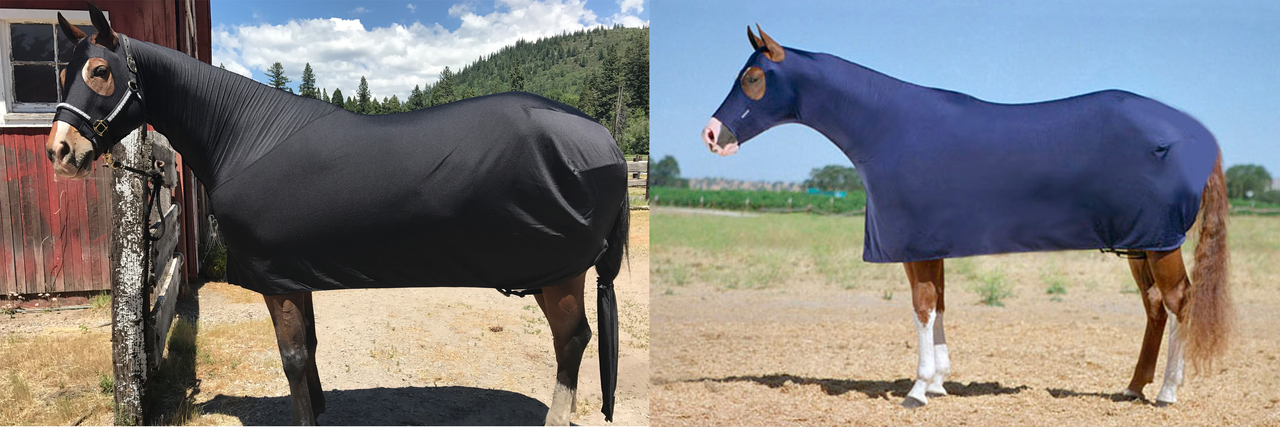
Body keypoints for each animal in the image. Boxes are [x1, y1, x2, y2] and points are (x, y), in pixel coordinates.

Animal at [45, 5, 627, 425]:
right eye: (63, 70)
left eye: (101, 71)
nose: (60, 152)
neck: (245, 138)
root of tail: (605, 141)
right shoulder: (292, 274)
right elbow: (309, 346)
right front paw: (320, 407)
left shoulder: (275, 279)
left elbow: (292, 358)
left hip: (562, 274)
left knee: (572, 342)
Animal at [701, 26, 1231, 408]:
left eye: (753, 78)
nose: (710, 135)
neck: (889, 128)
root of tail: (1197, 135)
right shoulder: (929, 245)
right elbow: (938, 305)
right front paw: (938, 382)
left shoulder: (914, 244)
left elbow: (922, 307)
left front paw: (917, 391)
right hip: (1140, 244)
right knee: (1155, 306)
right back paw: (1133, 387)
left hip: (1160, 243)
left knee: (1179, 302)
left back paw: (1166, 393)